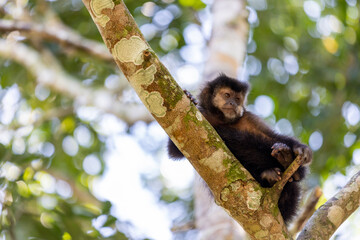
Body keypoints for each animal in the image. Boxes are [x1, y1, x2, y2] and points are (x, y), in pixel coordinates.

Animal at [169, 74, 312, 224]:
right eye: (227, 95)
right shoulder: (203, 115)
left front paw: (301, 148)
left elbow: (273, 136)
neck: (223, 121)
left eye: (237, 99)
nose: (233, 103)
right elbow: (175, 148)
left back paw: (287, 161)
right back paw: (269, 174)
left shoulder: (249, 117)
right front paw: (190, 97)